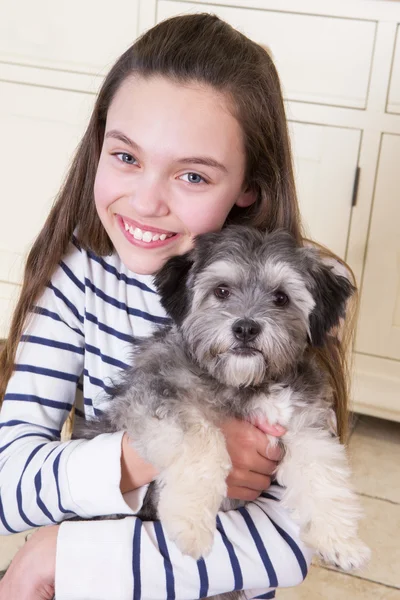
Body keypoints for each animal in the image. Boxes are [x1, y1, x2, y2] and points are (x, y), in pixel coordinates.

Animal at [80, 225, 368, 596]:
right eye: (221, 290)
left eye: (281, 298)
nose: (246, 328)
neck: (245, 384)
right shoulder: (155, 398)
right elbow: (204, 441)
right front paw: (190, 524)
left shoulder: (305, 425)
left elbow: (323, 475)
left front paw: (342, 541)